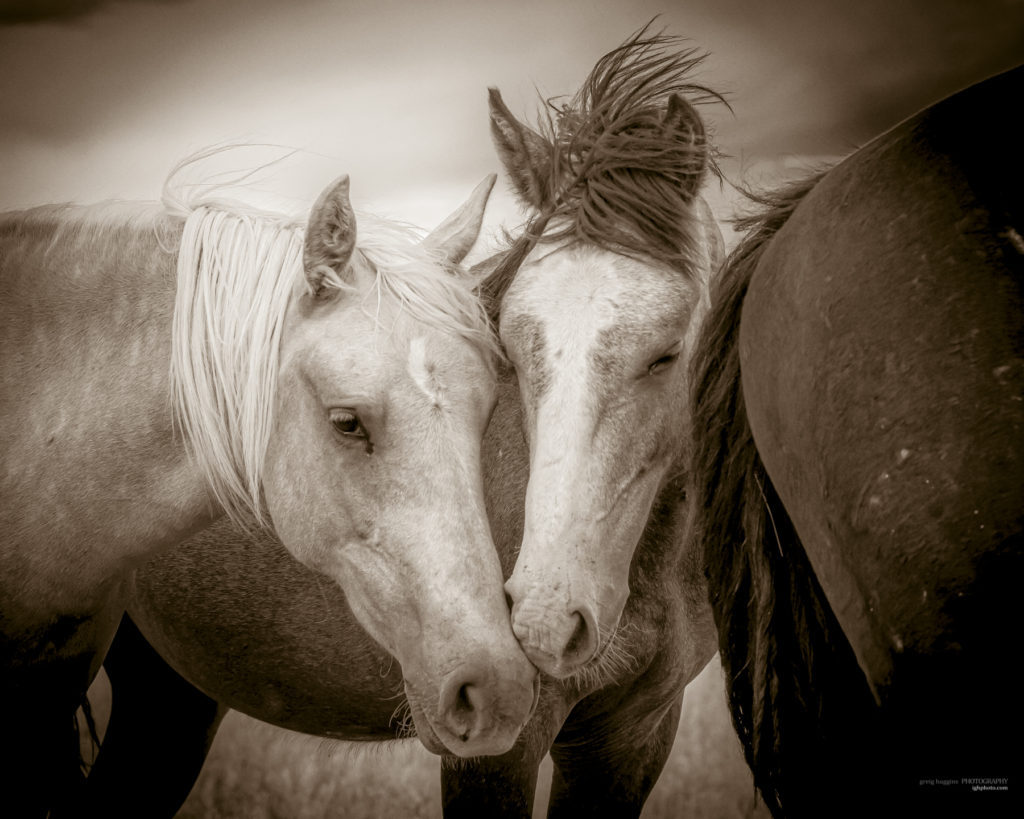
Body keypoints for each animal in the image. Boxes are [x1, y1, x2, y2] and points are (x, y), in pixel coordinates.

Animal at [77, 28, 729, 818]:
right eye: (511, 342)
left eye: (666, 354)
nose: (546, 617)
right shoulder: (494, 741)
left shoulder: (634, 734)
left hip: (168, 695)